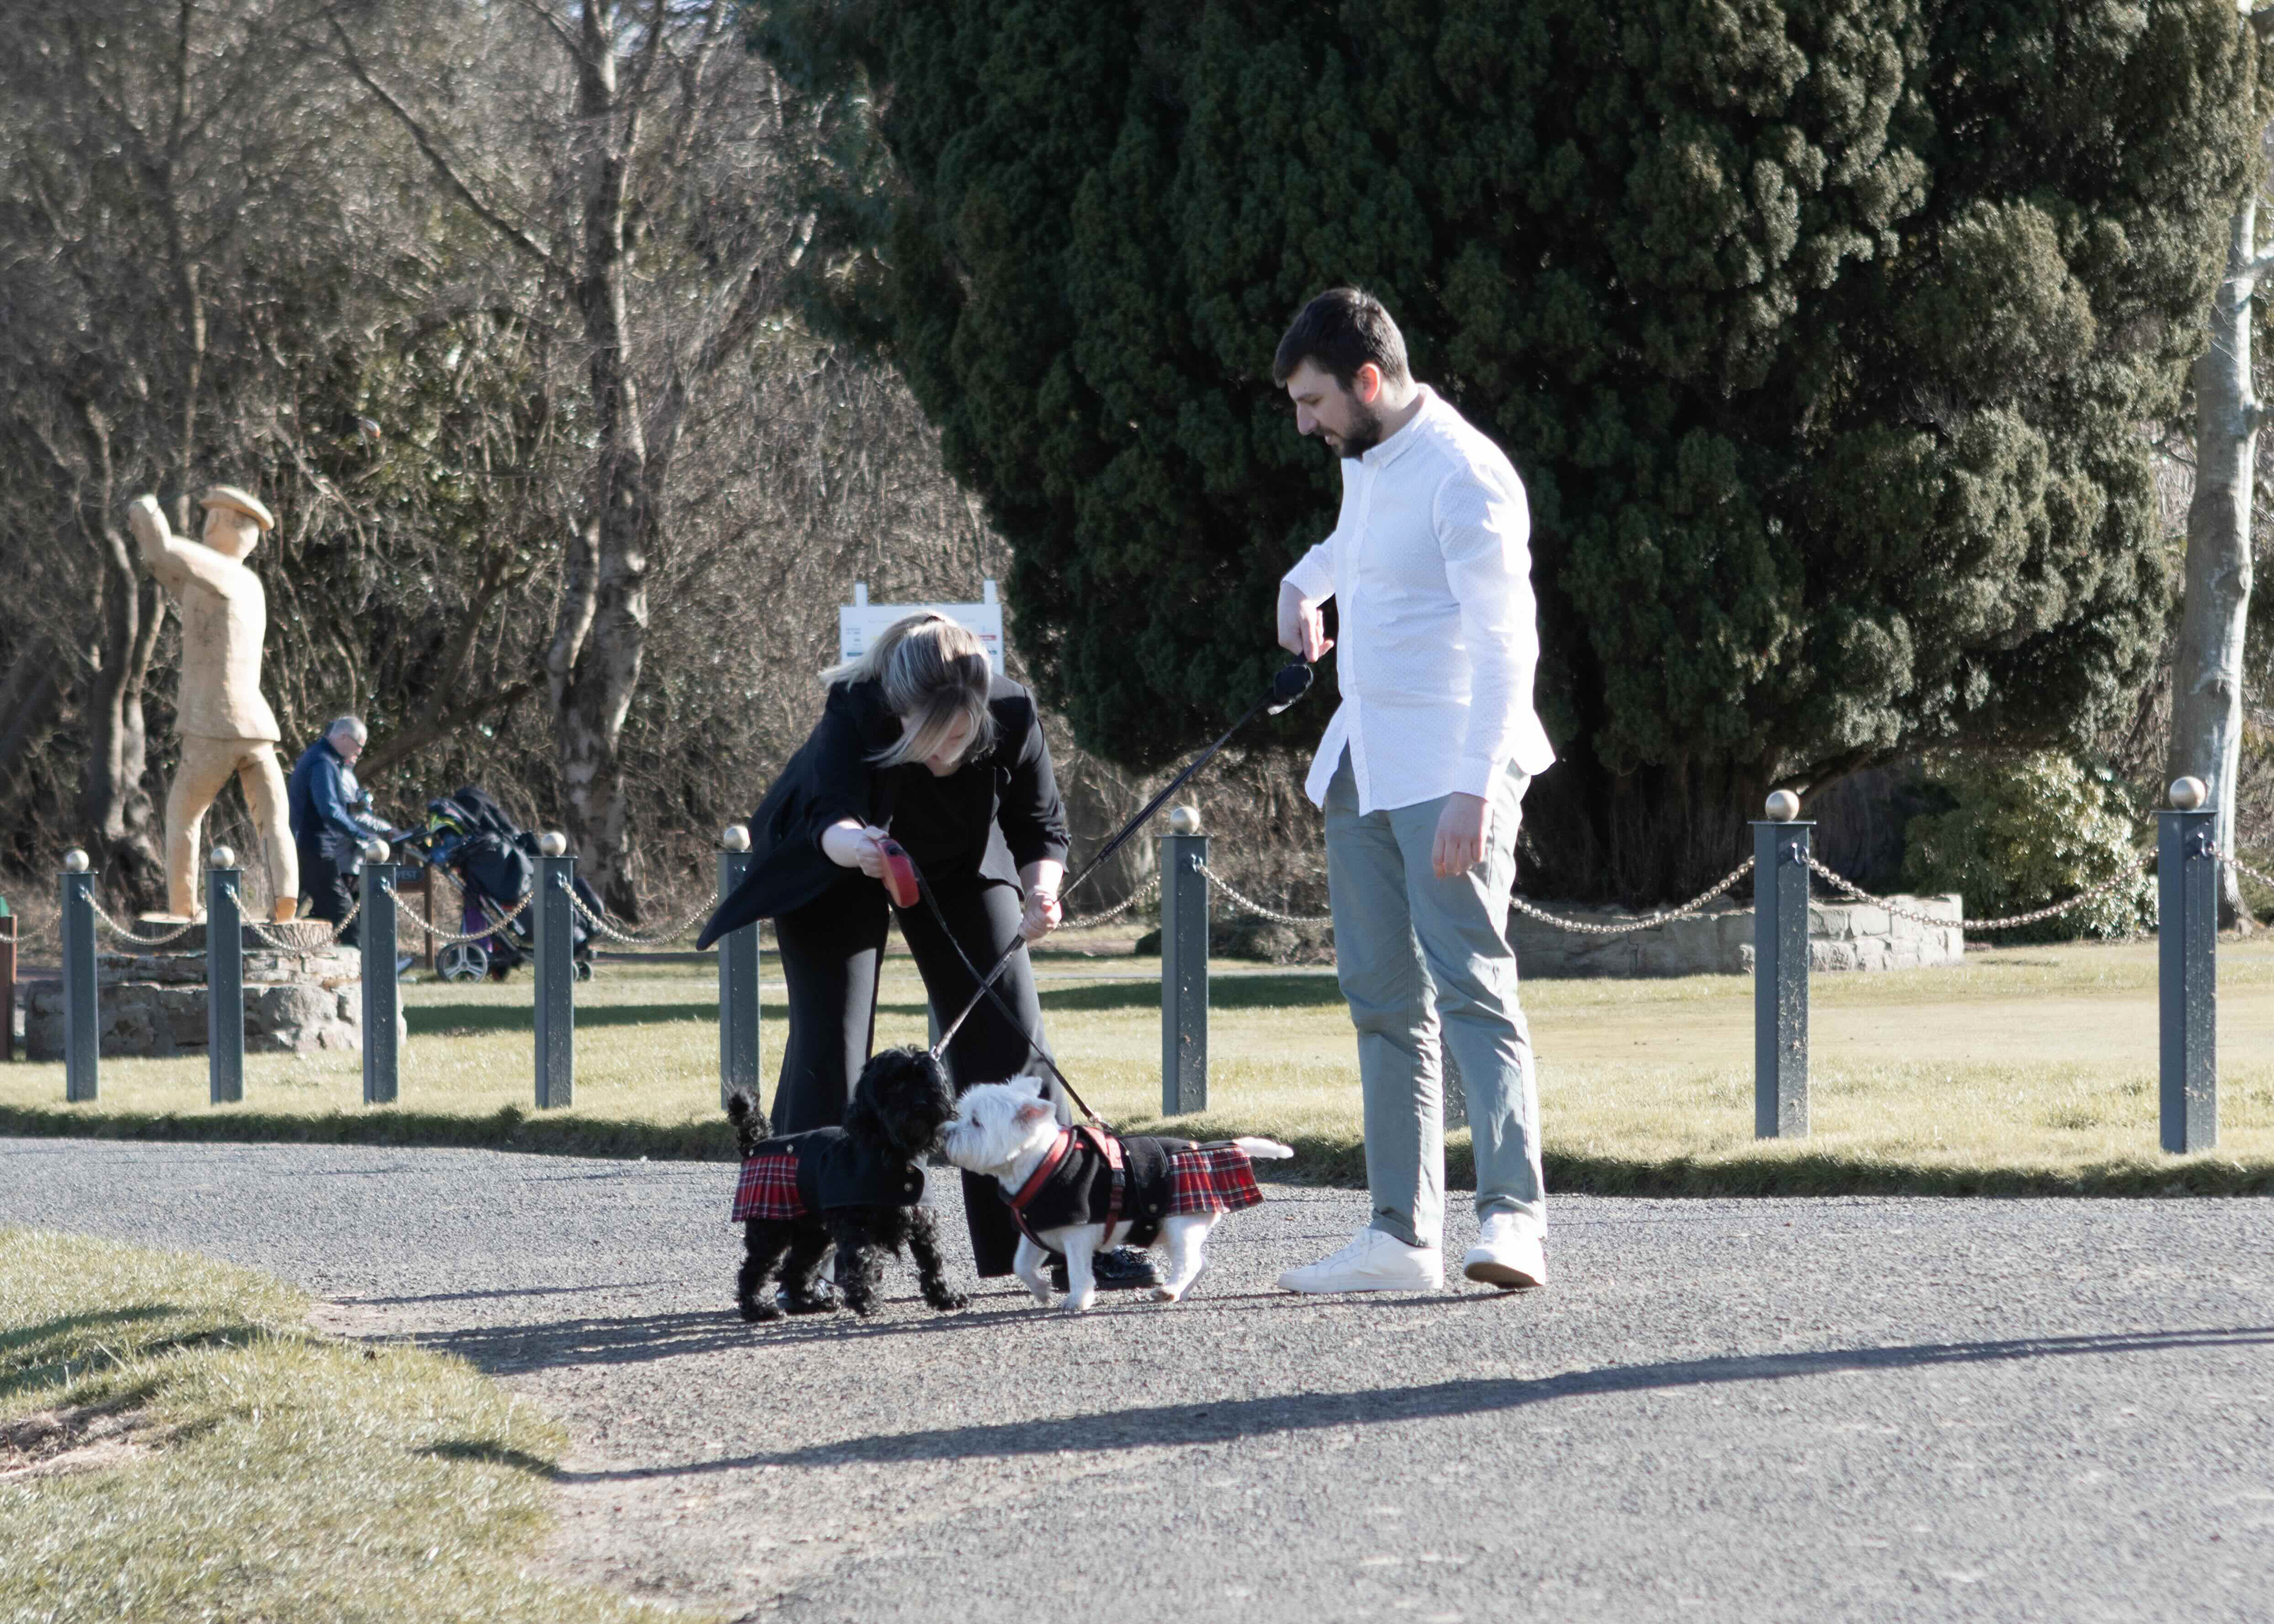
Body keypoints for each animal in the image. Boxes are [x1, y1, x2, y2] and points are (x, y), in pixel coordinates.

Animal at [727, 1046, 967, 1321]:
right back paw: (758, 1308)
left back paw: (809, 1302)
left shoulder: (924, 1221)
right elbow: (864, 1258)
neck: (892, 1152)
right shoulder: (858, 1226)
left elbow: (933, 1260)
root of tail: (756, 1145)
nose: (920, 1105)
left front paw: (945, 1296)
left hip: (813, 1233)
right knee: (754, 1270)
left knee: (795, 1268)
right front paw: (867, 1300)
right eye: (895, 1084)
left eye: (925, 1080)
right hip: (771, 1231)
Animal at [941, 1076, 1294, 1311]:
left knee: (1191, 1262)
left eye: (976, 1122)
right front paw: (1041, 1291)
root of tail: (1211, 1150)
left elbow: (1078, 1270)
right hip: (1173, 1230)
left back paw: (1169, 1290)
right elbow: (1021, 1265)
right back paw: (1179, 1292)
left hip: (1181, 1225)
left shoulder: (1077, 1235)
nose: (944, 1132)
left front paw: (1077, 1300)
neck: (1043, 1163)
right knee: (1198, 1262)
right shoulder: (1036, 1230)